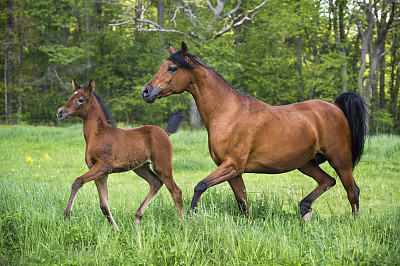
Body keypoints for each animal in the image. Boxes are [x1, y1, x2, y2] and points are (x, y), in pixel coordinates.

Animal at [56, 80, 184, 230]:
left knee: (176, 192)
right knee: (156, 183)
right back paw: (137, 221)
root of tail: (165, 132)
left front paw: (67, 215)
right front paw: (117, 230)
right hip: (141, 167)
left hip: (162, 166)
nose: (60, 112)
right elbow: (104, 205)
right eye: (71, 96)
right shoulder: (99, 172)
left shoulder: (104, 166)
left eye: (81, 99)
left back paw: (183, 224)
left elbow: (77, 181)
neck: (98, 135)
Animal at [141, 41, 368, 220]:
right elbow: (242, 202)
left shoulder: (233, 165)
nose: (145, 91)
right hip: (306, 163)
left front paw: (189, 216)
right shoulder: (233, 172)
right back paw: (305, 210)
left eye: (172, 68)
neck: (227, 112)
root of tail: (336, 107)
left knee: (352, 191)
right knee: (327, 181)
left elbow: (200, 186)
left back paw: (353, 222)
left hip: (340, 160)